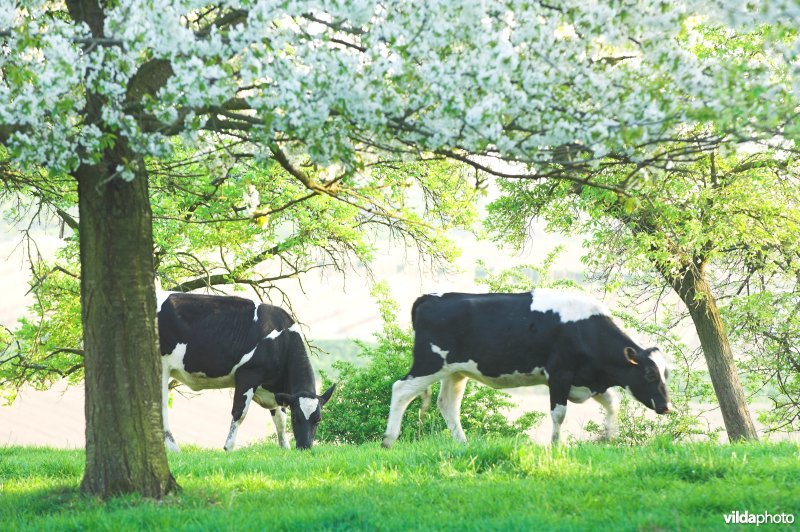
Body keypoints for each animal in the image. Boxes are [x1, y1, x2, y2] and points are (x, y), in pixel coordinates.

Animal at [156, 294, 334, 450]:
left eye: (318, 420)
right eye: (296, 417)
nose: (305, 447)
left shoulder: (274, 390)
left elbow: (280, 420)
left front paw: (285, 448)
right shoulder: (248, 375)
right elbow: (239, 413)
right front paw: (228, 447)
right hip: (162, 366)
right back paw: (173, 448)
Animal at [382, 288, 668, 446]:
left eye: (666, 374)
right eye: (649, 374)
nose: (667, 407)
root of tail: (430, 298)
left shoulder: (589, 379)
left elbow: (612, 403)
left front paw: (608, 437)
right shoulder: (559, 374)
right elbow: (558, 414)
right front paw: (556, 445)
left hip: (455, 371)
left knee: (447, 404)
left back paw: (463, 444)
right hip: (429, 363)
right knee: (401, 389)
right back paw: (389, 440)